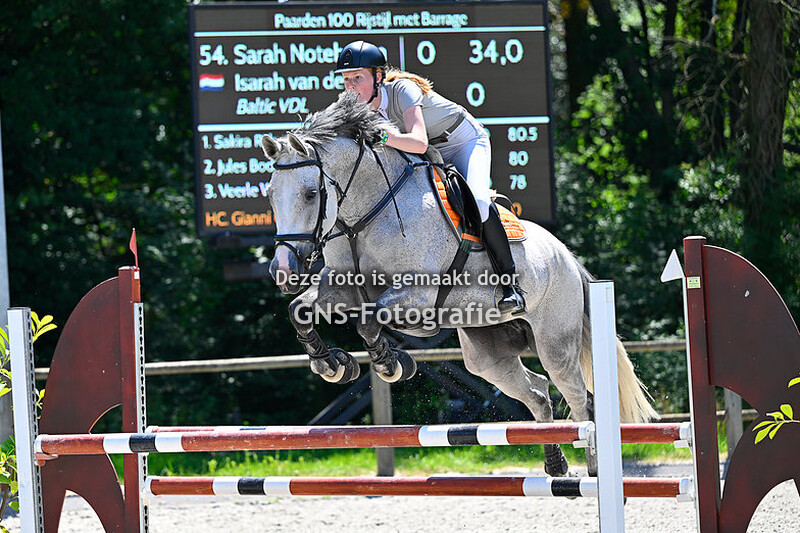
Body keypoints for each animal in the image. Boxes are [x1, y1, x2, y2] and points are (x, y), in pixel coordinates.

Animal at [260, 91, 657, 476]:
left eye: (311, 193)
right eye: (270, 194)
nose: (283, 269)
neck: (368, 212)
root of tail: (567, 257)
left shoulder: (417, 294)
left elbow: (368, 320)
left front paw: (392, 364)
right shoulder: (341, 287)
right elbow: (299, 311)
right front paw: (333, 365)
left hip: (555, 344)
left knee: (580, 400)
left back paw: (593, 469)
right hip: (488, 355)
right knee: (539, 392)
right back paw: (556, 464)